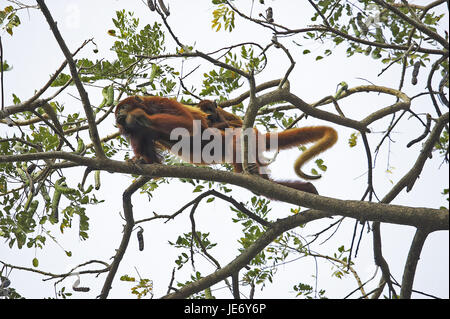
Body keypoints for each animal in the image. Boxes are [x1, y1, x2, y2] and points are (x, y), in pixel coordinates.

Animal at [116, 95, 338, 195]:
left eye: (123, 107)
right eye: (117, 111)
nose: (118, 116)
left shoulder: (158, 102)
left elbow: (188, 124)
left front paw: (140, 117)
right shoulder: (136, 133)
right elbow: (154, 162)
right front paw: (141, 161)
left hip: (238, 136)